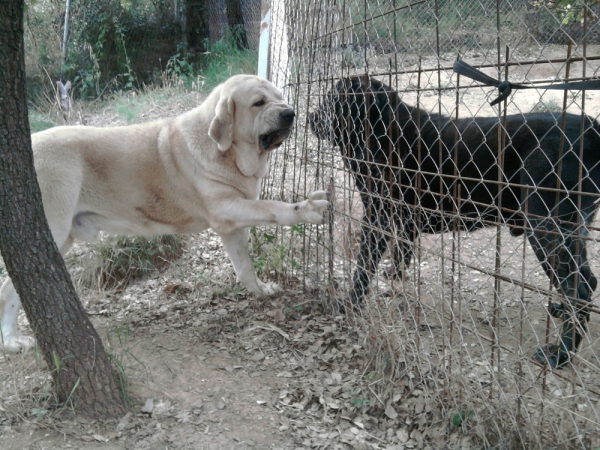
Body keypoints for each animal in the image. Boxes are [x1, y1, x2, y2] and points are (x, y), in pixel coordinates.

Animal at [0, 75, 328, 354]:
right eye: (259, 102)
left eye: (280, 97)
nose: (291, 113)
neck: (226, 152)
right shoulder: (226, 209)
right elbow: (271, 207)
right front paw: (304, 210)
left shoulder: (231, 226)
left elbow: (244, 266)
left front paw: (260, 291)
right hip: (51, 232)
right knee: (6, 289)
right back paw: (12, 341)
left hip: (60, 238)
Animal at [312, 74, 600, 370]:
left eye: (333, 100)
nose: (310, 118)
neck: (382, 129)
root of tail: (591, 127)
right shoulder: (402, 219)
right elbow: (402, 250)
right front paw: (394, 274)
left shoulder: (377, 217)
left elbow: (363, 267)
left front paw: (349, 304)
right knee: (588, 279)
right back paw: (560, 311)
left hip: (546, 228)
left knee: (579, 290)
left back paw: (560, 353)